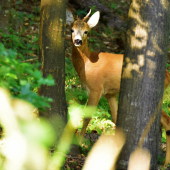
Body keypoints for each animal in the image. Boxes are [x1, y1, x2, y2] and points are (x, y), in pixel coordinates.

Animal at [71, 9, 170, 166]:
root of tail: (167, 74)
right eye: (72, 29)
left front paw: (80, 143)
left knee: (167, 120)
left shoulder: (96, 88)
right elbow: (116, 118)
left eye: (86, 31)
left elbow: (87, 116)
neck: (87, 63)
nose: (77, 41)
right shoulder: (109, 93)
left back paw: (165, 163)